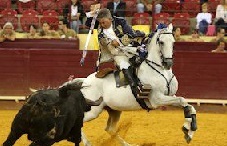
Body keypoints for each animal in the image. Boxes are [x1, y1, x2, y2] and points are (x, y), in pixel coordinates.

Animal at [64, 23, 196, 145]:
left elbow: (187, 104)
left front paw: (189, 131)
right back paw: (87, 143)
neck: (160, 70)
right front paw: (188, 129)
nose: (168, 63)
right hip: (94, 110)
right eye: (162, 42)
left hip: (113, 109)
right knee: (80, 122)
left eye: (173, 42)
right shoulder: (157, 99)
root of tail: (85, 81)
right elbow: (182, 100)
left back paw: (128, 144)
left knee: (110, 129)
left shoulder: (170, 96)